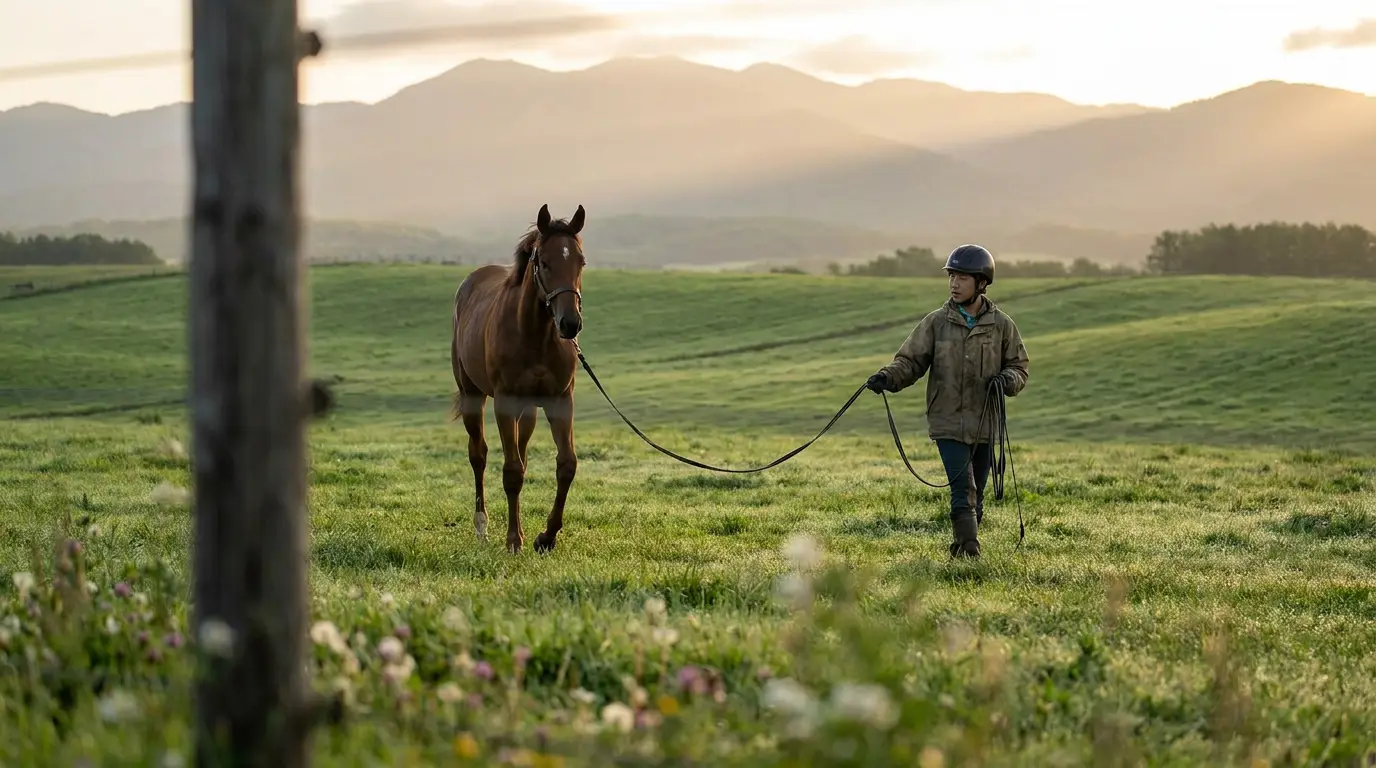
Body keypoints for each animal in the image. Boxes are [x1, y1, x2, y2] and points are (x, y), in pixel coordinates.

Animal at [450, 203, 587, 554]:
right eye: (544, 262)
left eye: (580, 261)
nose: (570, 324)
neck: (535, 335)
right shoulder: (506, 402)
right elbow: (511, 471)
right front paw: (514, 540)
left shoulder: (560, 401)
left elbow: (566, 465)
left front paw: (545, 537)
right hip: (473, 396)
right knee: (479, 455)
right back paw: (482, 526)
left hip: (528, 411)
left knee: (521, 453)